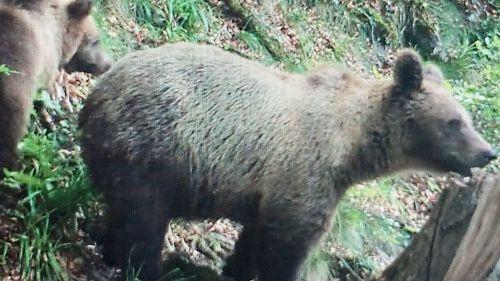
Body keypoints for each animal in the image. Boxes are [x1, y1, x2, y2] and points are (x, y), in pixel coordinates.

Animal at [79, 42, 496, 280]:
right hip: (154, 145)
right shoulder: (306, 171)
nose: (487, 152)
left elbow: (254, 238)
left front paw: (235, 271)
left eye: (466, 119)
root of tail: (98, 92)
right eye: (454, 122)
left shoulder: (271, 190)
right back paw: (149, 266)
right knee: (143, 219)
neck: (352, 147)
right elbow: (289, 244)